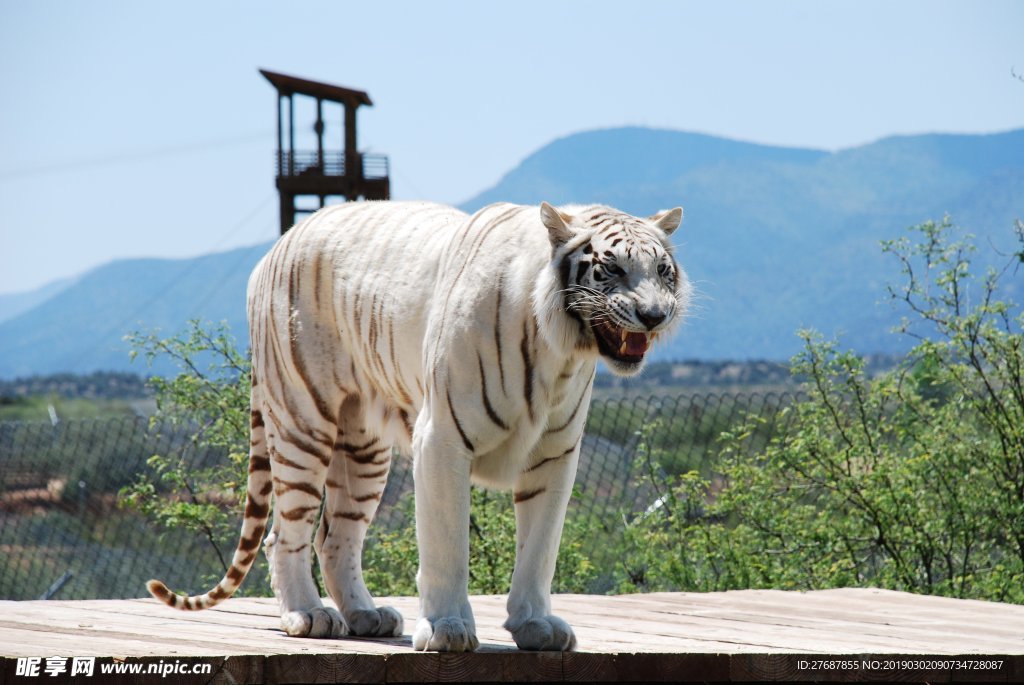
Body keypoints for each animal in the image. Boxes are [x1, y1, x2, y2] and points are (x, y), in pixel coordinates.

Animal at [148, 198, 692, 651]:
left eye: (662, 270)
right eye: (612, 268)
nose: (653, 314)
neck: (558, 349)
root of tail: (281, 242)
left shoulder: (555, 454)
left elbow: (540, 547)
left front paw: (536, 624)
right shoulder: (443, 439)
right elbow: (447, 543)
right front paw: (447, 628)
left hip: (363, 450)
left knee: (334, 537)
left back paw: (366, 616)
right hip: (303, 419)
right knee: (286, 533)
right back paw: (307, 614)